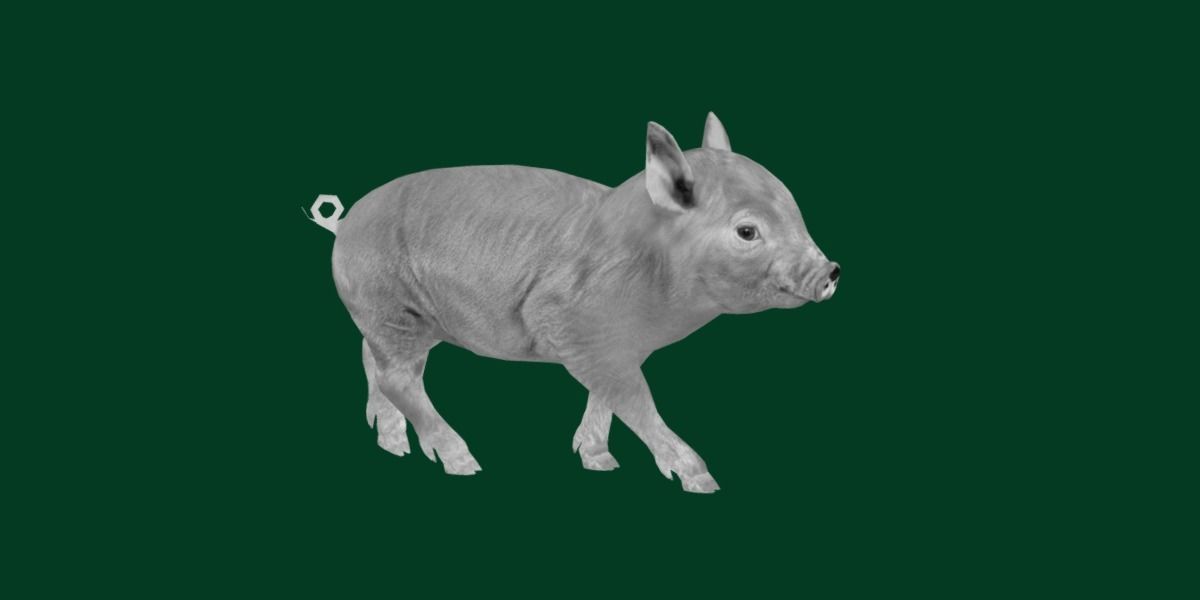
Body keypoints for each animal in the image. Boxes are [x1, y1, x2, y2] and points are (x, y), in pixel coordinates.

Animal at [313, 113, 839, 493]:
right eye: (747, 231)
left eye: (793, 207)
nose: (832, 271)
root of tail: (344, 224)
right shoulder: (569, 323)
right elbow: (634, 398)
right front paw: (702, 481)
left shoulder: (617, 346)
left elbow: (607, 396)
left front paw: (600, 462)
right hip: (391, 307)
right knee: (400, 378)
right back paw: (465, 464)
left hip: (391, 319)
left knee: (374, 363)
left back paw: (393, 446)